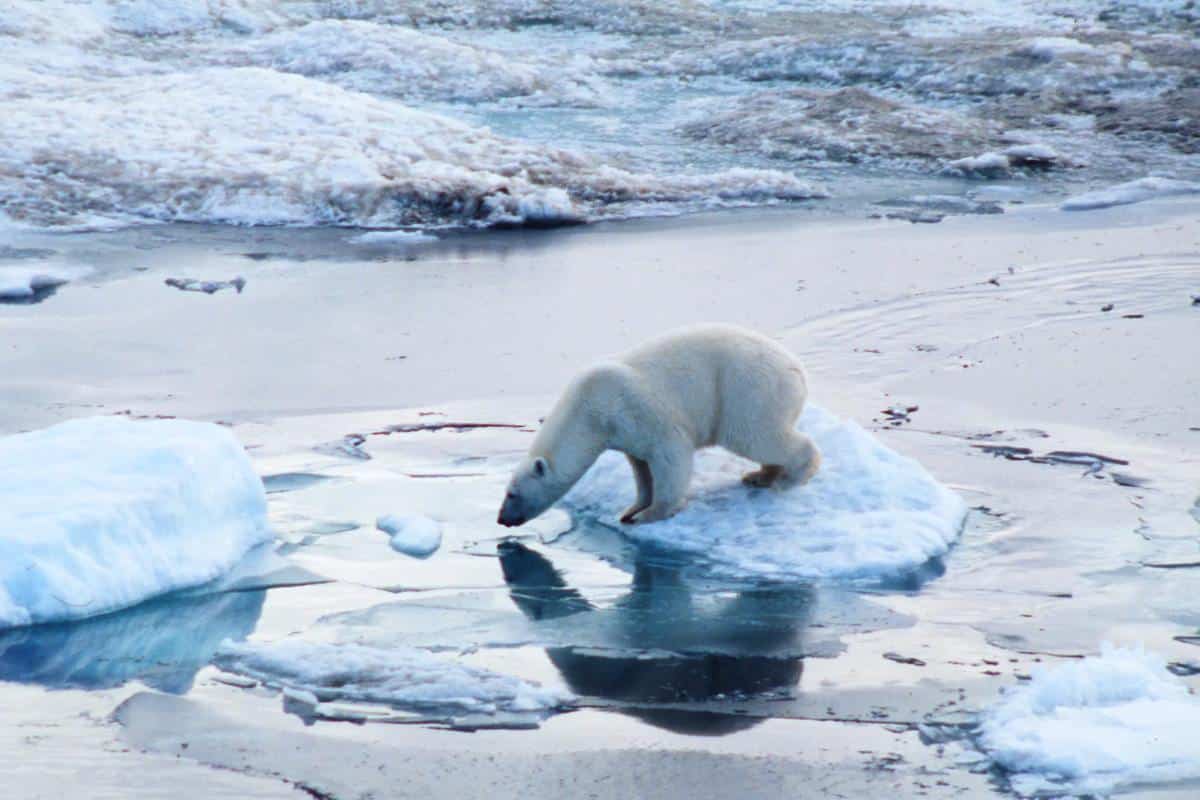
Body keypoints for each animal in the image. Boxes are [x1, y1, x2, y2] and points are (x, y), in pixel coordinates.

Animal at [497, 323, 820, 527]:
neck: (589, 409)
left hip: (748, 389)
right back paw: (759, 476)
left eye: (512, 493)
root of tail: (798, 369)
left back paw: (788, 479)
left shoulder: (637, 409)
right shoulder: (625, 433)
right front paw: (631, 509)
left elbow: (670, 455)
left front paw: (650, 514)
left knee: (756, 435)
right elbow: (641, 468)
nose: (501, 519)